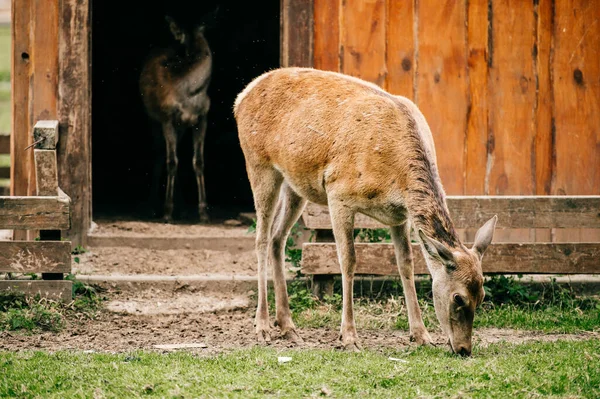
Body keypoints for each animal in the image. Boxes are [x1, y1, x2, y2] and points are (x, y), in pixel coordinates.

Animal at [139, 14, 214, 223]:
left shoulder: (202, 119)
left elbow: (198, 161)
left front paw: (204, 212)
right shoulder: (167, 117)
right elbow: (171, 161)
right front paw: (166, 212)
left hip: (180, 127)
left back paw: (183, 208)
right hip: (153, 119)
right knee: (159, 154)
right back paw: (152, 207)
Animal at [234, 66, 496, 356]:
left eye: (482, 295)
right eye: (458, 297)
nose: (463, 349)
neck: (396, 177)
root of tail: (241, 97)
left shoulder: (399, 216)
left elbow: (406, 264)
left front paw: (421, 335)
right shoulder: (338, 193)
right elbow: (348, 261)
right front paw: (348, 337)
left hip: (296, 184)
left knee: (278, 238)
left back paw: (288, 326)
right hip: (259, 163)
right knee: (261, 238)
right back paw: (263, 327)